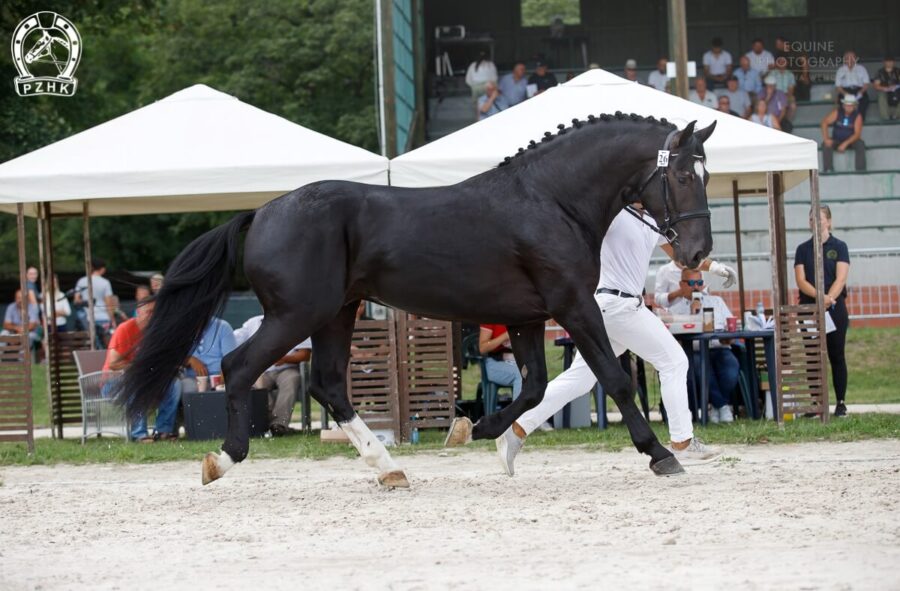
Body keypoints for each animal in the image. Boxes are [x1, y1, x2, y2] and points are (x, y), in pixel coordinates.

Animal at [121, 113, 716, 488]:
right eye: (684, 175)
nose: (698, 252)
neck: (551, 201)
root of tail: (264, 211)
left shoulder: (526, 318)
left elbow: (534, 387)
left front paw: (476, 430)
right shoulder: (574, 305)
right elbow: (614, 380)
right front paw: (661, 455)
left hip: (335, 314)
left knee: (328, 385)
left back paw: (389, 468)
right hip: (296, 315)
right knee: (240, 367)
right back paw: (223, 459)